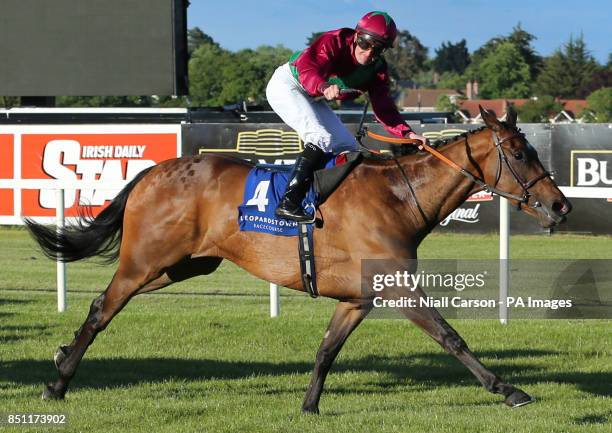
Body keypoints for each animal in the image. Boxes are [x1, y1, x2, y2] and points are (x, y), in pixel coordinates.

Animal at [27, 105, 572, 412]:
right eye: (520, 153)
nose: (560, 206)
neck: (399, 195)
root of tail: (152, 171)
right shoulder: (398, 287)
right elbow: (450, 337)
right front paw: (509, 390)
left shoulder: (359, 298)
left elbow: (327, 350)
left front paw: (309, 405)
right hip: (145, 260)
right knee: (103, 308)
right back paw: (57, 383)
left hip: (180, 265)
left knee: (104, 302)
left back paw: (60, 356)